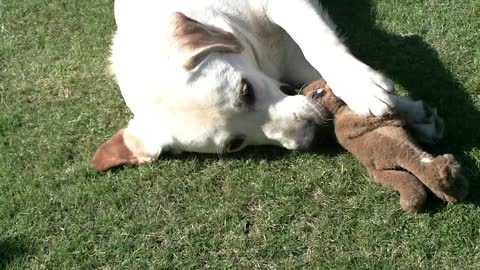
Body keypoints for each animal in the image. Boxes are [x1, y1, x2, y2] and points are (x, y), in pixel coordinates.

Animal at [90, 0, 442, 171]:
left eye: (246, 90)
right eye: (234, 144)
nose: (313, 136)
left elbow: (317, 43)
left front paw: (362, 87)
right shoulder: (284, 60)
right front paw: (412, 114)